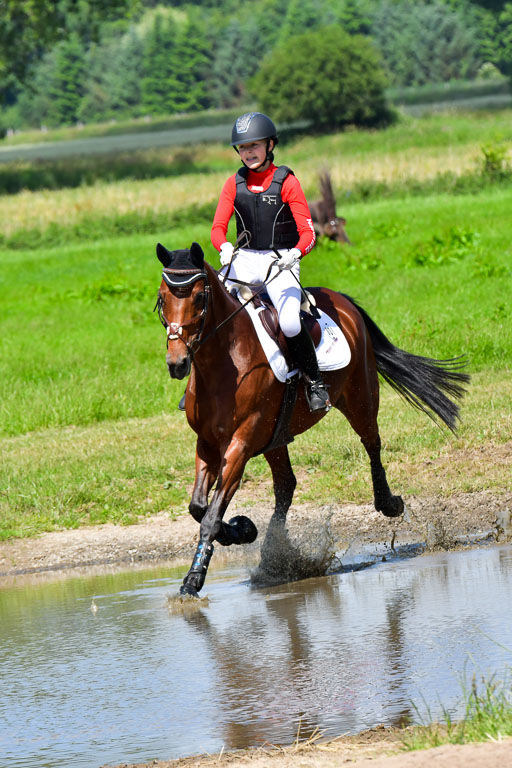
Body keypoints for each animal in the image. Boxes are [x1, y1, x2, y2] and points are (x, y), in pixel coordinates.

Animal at [155, 241, 469, 597]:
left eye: (198, 297)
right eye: (162, 297)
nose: (177, 363)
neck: (224, 362)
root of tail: (341, 300)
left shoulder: (240, 443)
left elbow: (209, 517)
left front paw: (193, 579)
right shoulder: (207, 443)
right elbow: (197, 507)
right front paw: (242, 529)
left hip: (360, 397)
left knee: (371, 443)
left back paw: (388, 503)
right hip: (276, 436)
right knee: (286, 485)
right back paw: (272, 555)